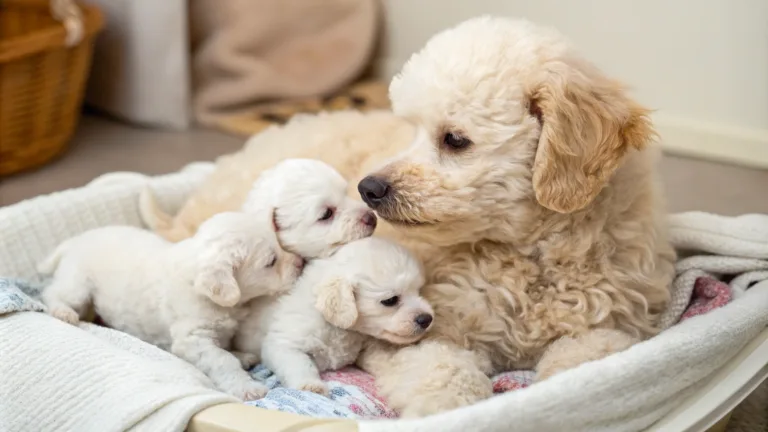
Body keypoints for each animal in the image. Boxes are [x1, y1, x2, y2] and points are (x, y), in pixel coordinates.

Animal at [38, 211, 304, 400]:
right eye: (271, 262)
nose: (301, 262)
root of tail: (75, 240)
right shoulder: (192, 339)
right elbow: (222, 359)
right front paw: (246, 387)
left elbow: (226, 347)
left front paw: (241, 355)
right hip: (78, 283)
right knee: (52, 293)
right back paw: (63, 312)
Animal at [262, 236, 432, 394]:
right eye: (390, 300)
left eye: (419, 291)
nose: (427, 319)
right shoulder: (284, 343)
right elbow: (300, 364)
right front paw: (311, 386)